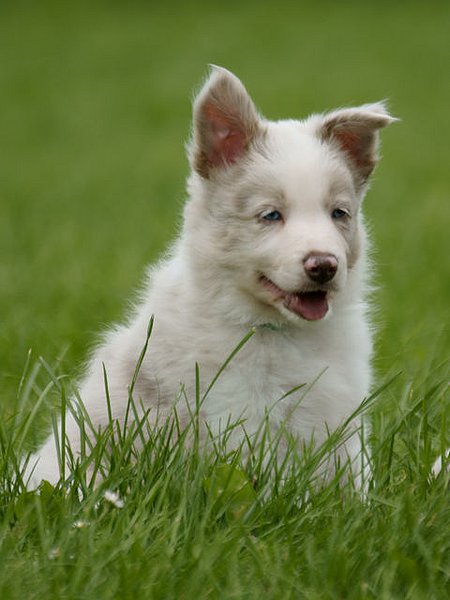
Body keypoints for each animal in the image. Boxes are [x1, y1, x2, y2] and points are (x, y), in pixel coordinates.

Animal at [26, 66, 396, 488]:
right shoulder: (236, 411)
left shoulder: (341, 419)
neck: (278, 331)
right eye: (271, 215)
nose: (324, 265)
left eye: (339, 213)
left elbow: (349, 481)